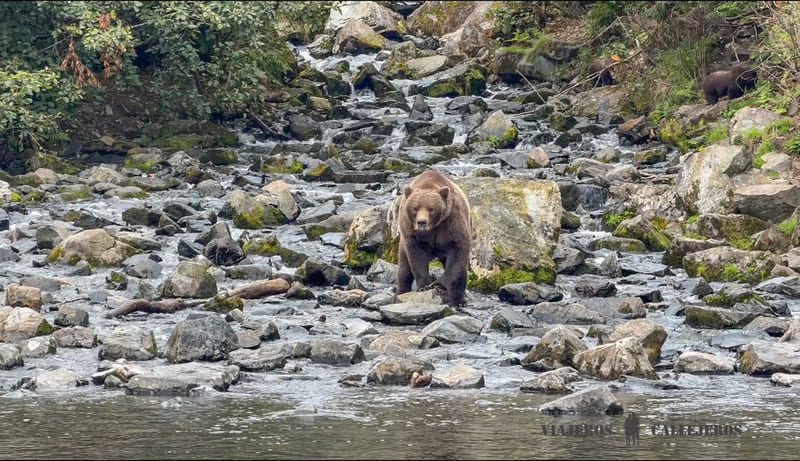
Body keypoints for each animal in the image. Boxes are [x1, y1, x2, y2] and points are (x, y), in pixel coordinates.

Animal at [397, 170, 472, 307]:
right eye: (415, 208)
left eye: (431, 208)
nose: (421, 222)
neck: (433, 227)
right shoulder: (413, 233)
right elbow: (417, 257)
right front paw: (424, 286)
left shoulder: (451, 222)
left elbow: (457, 254)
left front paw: (454, 296)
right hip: (402, 242)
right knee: (404, 266)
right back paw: (401, 291)